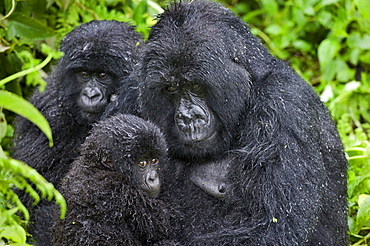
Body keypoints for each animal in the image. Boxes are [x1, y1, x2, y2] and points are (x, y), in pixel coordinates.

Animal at [52, 114, 179, 245]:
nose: (153, 178)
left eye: (154, 161)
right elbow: (168, 225)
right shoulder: (122, 190)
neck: (95, 165)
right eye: (142, 163)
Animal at [110, 0, 346, 245]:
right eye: (171, 88)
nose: (188, 118)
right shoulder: (133, 91)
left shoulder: (283, 104)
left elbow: (273, 227)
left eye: (195, 85)